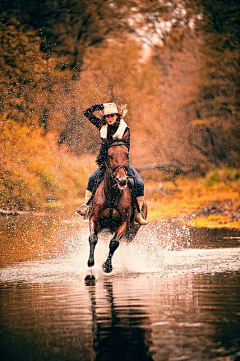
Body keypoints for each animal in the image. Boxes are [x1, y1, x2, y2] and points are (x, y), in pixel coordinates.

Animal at [86, 135, 146, 272]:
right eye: (110, 155)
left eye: (127, 154)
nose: (122, 180)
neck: (112, 196)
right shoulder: (94, 219)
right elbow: (92, 238)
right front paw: (91, 263)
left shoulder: (123, 224)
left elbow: (114, 243)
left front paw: (107, 266)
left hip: (132, 232)